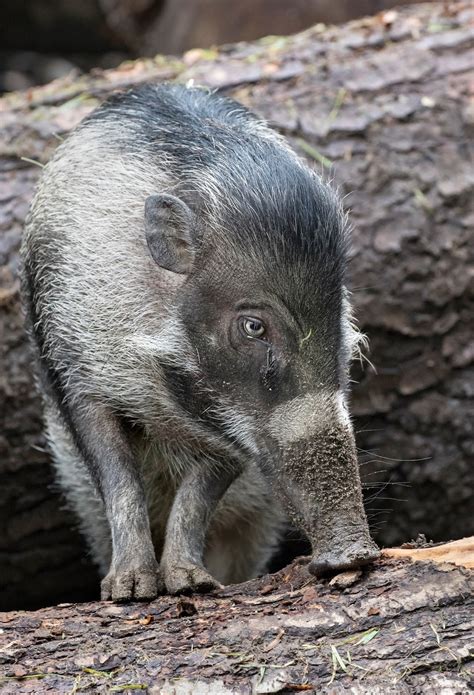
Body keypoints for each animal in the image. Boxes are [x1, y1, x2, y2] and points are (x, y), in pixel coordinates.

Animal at [21, 83, 380, 601]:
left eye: (340, 322)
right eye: (253, 326)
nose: (357, 554)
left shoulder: (231, 434)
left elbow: (199, 493)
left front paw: (192, 585)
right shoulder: (74, 375)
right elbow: (118, 477)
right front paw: (131, 591)